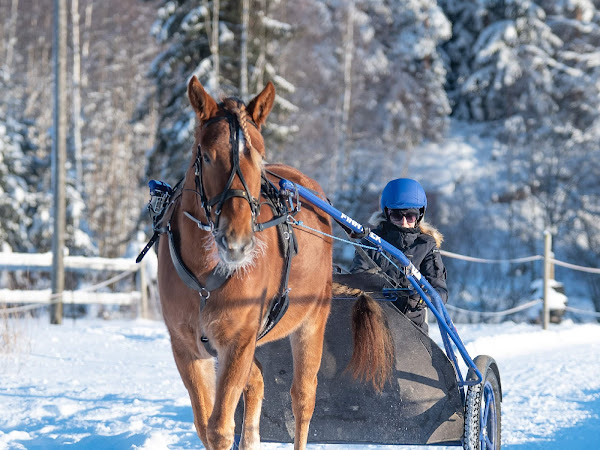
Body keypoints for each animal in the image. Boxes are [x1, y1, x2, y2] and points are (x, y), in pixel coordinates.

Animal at [157, 75, 396, 448]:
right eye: (207, 156)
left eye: (260, 157)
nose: (237, 241)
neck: (207, 275)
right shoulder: (186, 347)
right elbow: (205, 425)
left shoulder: (238, 341)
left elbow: (219, 427)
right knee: (256, 382)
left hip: (312, 319)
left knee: (303, 399)